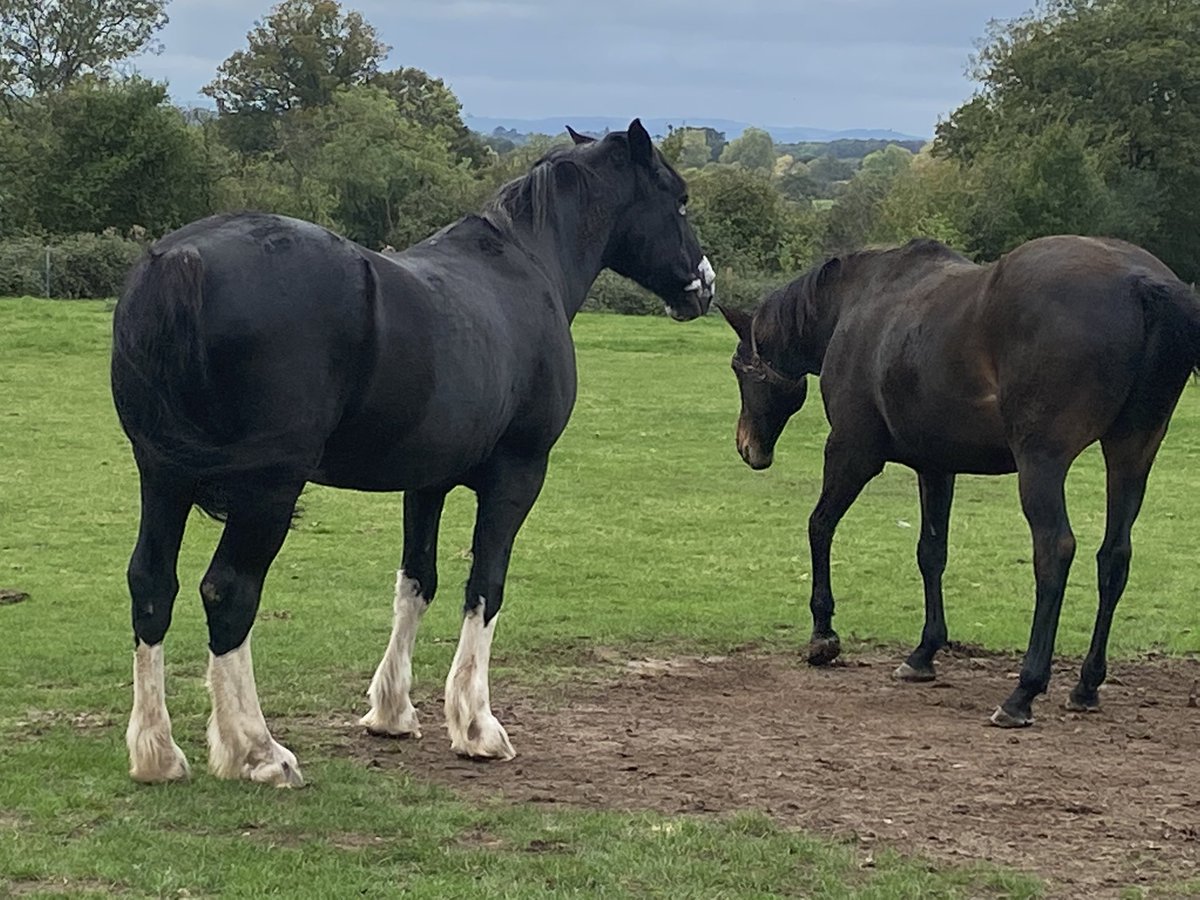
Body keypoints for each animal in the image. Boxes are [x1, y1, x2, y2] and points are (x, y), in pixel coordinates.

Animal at [111, 119, 714, 786]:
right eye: (678, 199)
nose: (705, 284)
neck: (529, 268)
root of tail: (183, 262)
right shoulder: (518, 475)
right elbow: (486, 584)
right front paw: (476, 725)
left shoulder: (426, 481)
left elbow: (417, 581)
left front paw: (392, 711)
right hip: (267, 490)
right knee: (229, 592)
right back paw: (259, 750)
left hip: (161, 476)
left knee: (151, 584)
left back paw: (157, 754)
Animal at [718, 235, 1200, 727]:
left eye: (738, 368)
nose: (747, 446)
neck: (858, 303)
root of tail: (1141, 282)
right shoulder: (936, 466)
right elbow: (931, 553)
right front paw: (923, 653)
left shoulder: (851, 453)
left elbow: (820, 526)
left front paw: (823, 634)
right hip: (1131, 452)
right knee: (1114, 557)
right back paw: (1086, 685)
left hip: (1042, 463)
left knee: (1055, 551)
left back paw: (1024, 690)